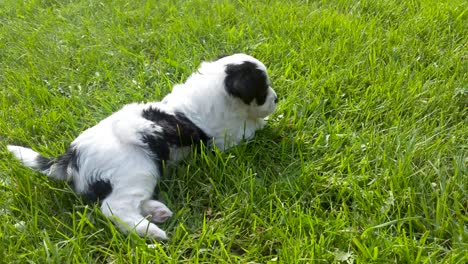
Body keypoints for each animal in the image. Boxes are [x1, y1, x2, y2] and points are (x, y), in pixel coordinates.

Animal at [6, 52, 278, 240]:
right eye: (263, 90)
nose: (276, 99)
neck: (217, 91)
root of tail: (71, 156)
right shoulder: (230, 136)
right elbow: (255, 126)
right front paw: (273, 122)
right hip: (138, 170)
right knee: (114, 208)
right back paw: (151, 230)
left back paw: (156, 211)